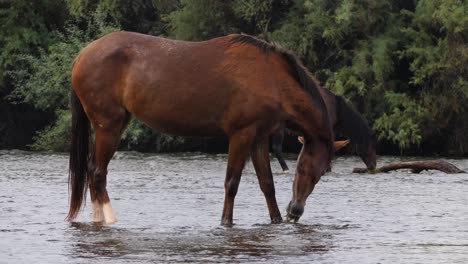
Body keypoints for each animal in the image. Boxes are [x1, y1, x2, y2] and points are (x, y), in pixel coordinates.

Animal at [68, 31, 332, 225]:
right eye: (304, 169)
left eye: (321, 174)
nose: (296, 211)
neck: (271, 77)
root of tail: (82, 56)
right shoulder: (241, 134)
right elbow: (232, 183)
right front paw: (226, 222)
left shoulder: (259, 138)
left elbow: (267, 184)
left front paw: (276, 221)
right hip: (108, 126)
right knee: (98, 172)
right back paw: (111, 219)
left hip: (117, 124)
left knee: (92, 170)